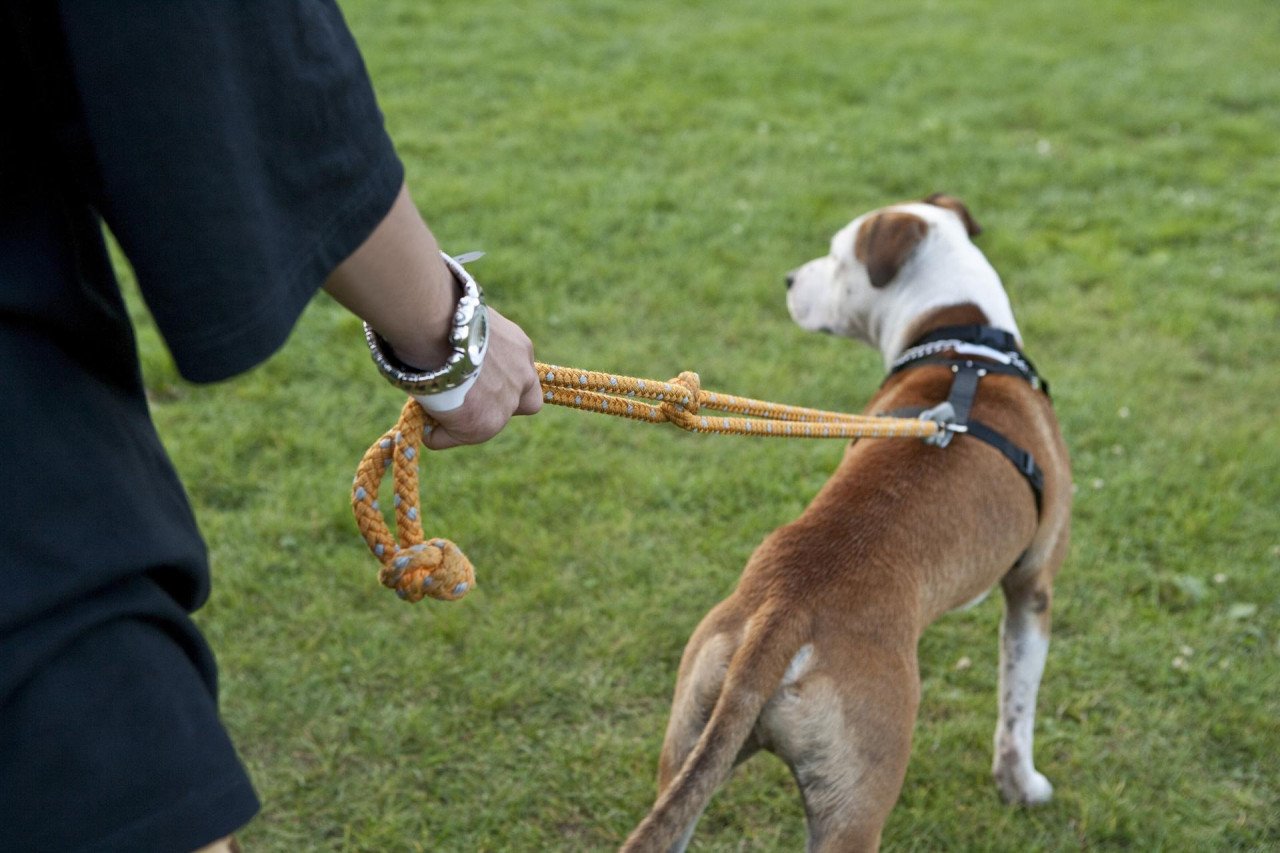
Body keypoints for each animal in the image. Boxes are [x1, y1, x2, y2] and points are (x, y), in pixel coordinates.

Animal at [619, 194, 1070, 850]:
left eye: (834, 260)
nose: (787, 279)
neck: (962, 343)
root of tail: (785, 613)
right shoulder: (1032, 586)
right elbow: (1017, 705)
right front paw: (1022, 787)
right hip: (857, 806)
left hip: (690, 744)